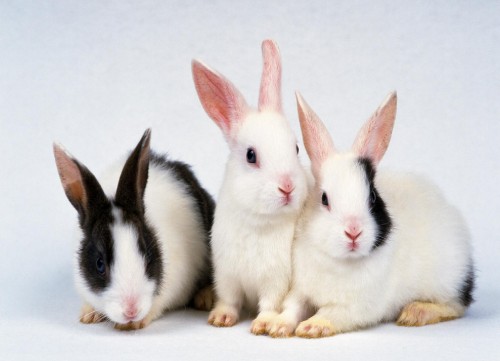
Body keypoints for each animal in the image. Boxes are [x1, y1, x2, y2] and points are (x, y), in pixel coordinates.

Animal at [54, 129, 215, 330]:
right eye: (100, 264)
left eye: (147, 255)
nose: (131, 311)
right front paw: (88, 315)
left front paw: (134, 324)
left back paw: (206, 298)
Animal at [191, 38, 308, 332]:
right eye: (251, 155)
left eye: (296, 148)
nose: (287, 187)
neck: (258, 221)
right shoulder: (227, 275)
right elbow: (229, 299)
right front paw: (220, 318)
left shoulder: (275, 280)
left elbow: (270, 303)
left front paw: (264, 324)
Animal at [264, 90, 474, 338]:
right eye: (324, 199)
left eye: (373, 197)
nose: (353, 232)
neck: (339, 261)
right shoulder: (300, 290)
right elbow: (292, 307)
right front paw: (278, 326)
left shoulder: (355, 308)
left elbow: (330, 312)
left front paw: (311, 326)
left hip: (447, 280)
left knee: (456, 305)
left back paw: (415, 312)